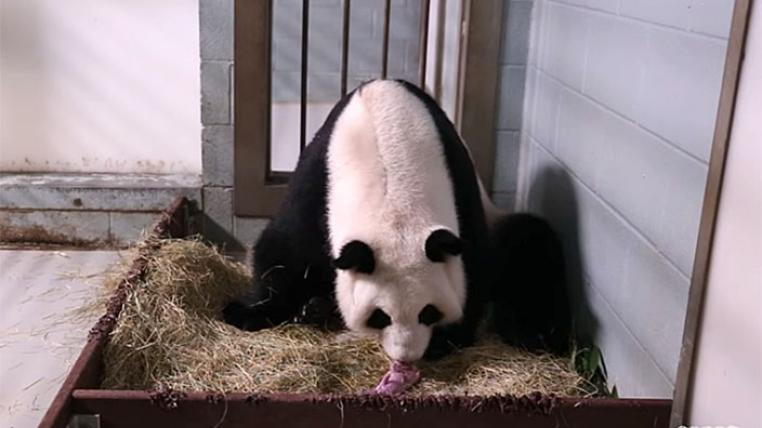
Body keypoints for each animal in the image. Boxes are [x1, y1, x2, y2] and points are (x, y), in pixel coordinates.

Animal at [224, 79, 569, 361]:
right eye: (380, 316)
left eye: (428, 312)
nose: (407, 356)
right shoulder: (319, 177)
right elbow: (284, 246)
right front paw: (248, 312)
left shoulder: (459, 185)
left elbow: (474, 265)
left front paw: (447, 337)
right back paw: (313, 309)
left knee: (531, 245)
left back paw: (534, 334)